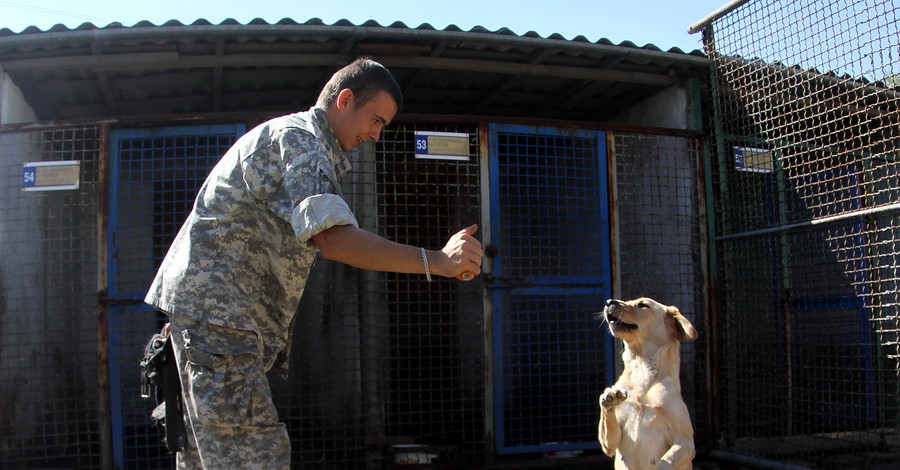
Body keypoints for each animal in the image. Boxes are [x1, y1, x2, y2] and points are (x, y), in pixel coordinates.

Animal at [600, 298, 700, 470]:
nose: (609, 302)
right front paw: (610, 400)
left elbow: (664, 462)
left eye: (643, 305)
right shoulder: (610, 445)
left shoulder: (685, 442)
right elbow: (608, 427)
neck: (642, 369)